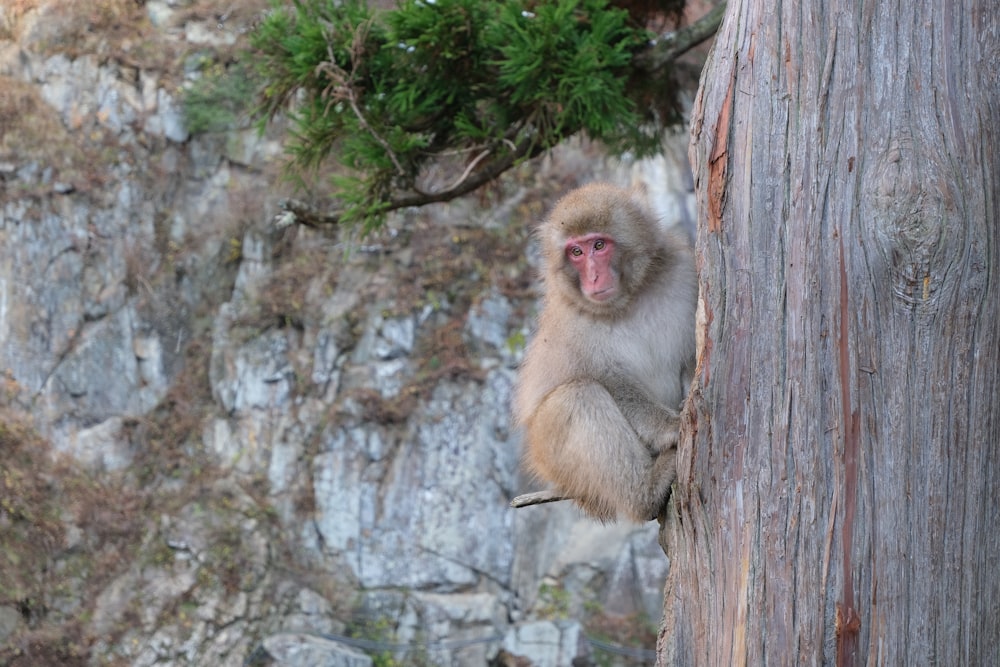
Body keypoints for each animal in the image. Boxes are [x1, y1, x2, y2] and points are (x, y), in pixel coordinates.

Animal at [508, 185, 696, 524]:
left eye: (598, 245)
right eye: (576, 253)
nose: (593, 277)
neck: (626, 302)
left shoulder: (684, 274)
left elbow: (690, 356)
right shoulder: (572, 325)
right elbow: (609, 381)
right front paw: (670, 427)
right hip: (550, 457)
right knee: (576, 397)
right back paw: (646, 492)